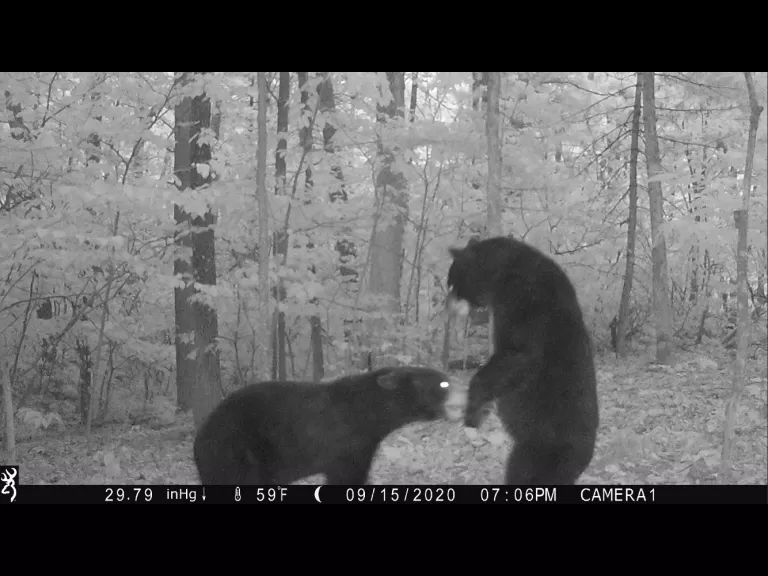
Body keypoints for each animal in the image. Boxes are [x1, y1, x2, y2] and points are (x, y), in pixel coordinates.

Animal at [193, 366, 467, 485]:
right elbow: (345, 477)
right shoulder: (345, 446)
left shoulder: (362, 444)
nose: (467, 392)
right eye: (443, 383)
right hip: (234, 455)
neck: (366, 413)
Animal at [446, 236, 599, 485]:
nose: (446, 304)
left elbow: (518, 353)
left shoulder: (525, 299)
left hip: (537, 449)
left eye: (451, 282)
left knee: (522, 472)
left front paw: (472, 412)